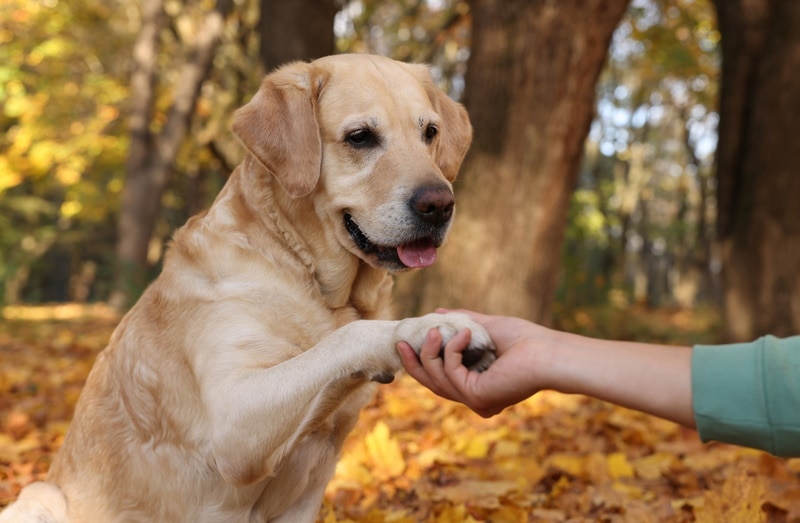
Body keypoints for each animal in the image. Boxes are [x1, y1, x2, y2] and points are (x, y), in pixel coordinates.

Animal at [0, 54, 494, 523]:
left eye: (429, 132)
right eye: (360, 137)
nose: (440, 204)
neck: (305, 272)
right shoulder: (235, 423)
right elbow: (347, 338)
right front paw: (428, 328)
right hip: (39, 496)